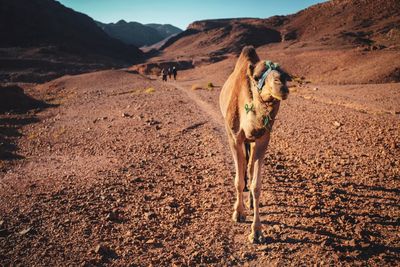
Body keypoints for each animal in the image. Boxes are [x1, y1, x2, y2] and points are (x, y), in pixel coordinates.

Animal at [219, 46, 290, 245]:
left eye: (285, 76)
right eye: (257, 77)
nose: (281, 86)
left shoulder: (263, 138)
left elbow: (257, 185)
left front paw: (257, 231)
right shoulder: (234, 137)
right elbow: (237, 180)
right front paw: (238, 212)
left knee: (249, 166)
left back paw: (249, 199)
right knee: (243, 167)